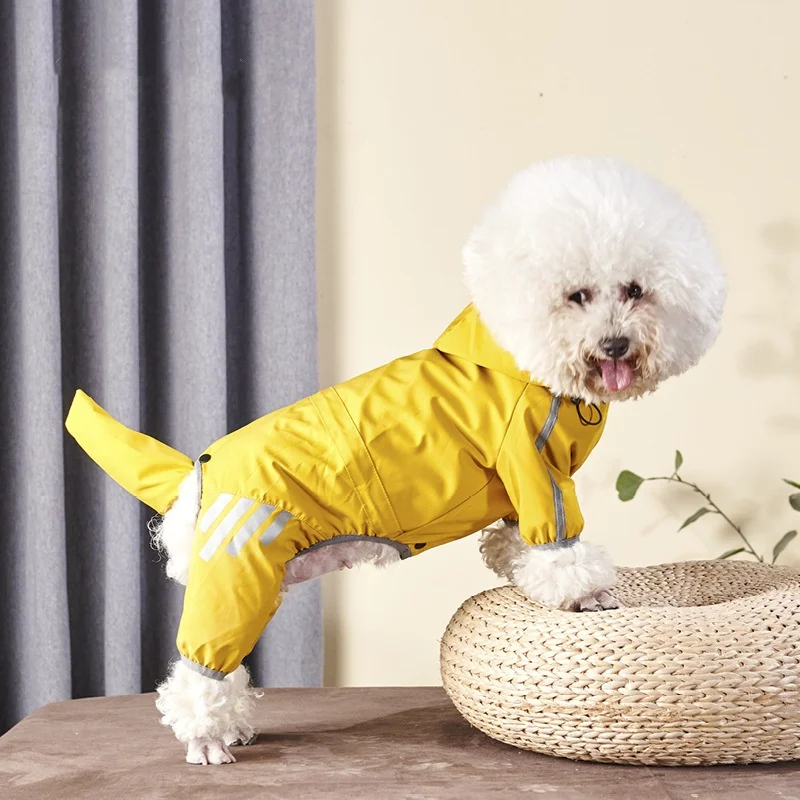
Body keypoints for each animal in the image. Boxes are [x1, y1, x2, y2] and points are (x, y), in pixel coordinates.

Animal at [65, 156, 725, 764]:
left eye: (635, 290)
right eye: (577, 295)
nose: (615, 344)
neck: (526, 362)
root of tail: (196, 472)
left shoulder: (521, 491)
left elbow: (511, 543)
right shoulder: (535, 468)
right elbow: (560, 547)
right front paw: (586, 596)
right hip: (236, 570)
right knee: (199, 670)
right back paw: (207, 738)